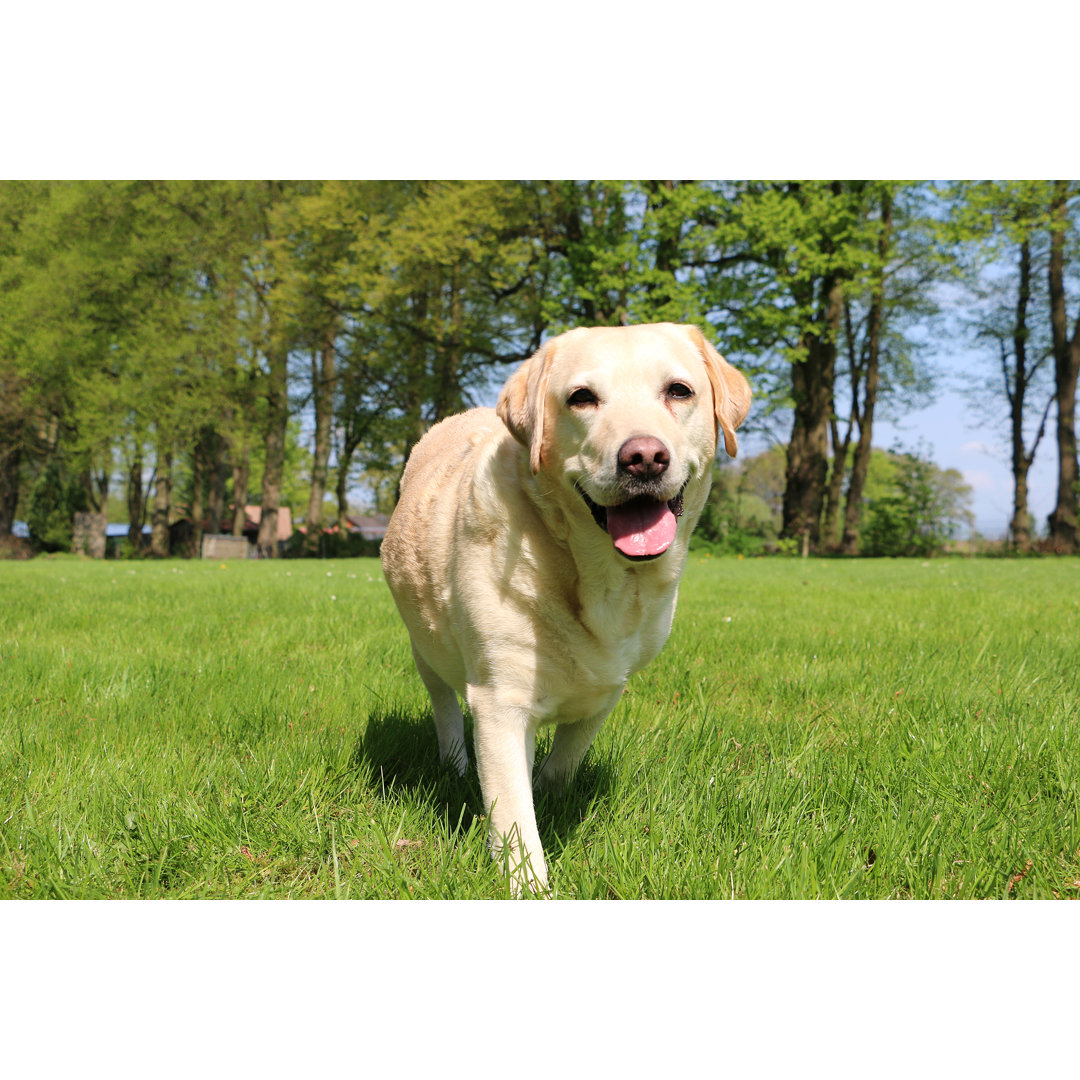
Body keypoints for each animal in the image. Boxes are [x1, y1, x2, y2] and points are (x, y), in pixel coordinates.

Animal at [382, 319, 751, 894]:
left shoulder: (609, 685)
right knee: (444, 705)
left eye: (679, 390)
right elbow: (513, 814)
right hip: (426, 646)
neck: (598, 577)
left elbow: (567, 756)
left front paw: (552, 792)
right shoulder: (501, 702)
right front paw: (530, 887)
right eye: (582, 398)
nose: (644, 457)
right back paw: (454, 760)